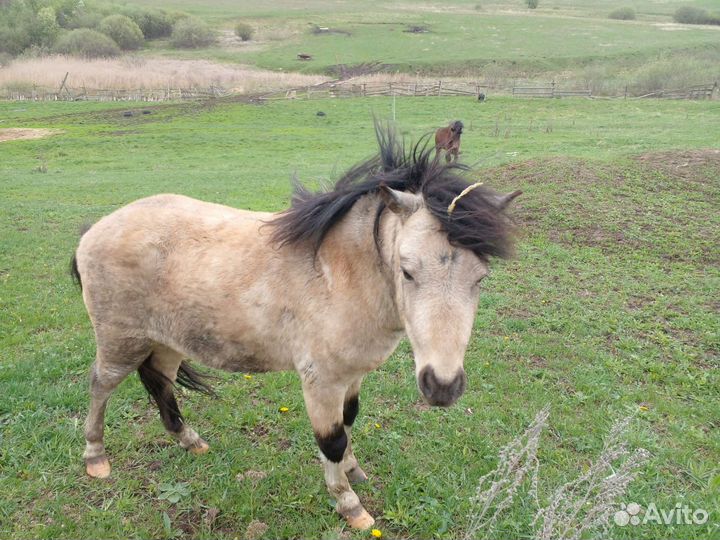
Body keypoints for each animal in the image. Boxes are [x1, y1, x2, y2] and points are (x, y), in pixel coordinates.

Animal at [71, 126, 521, 530]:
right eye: (407, 271)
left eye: (480, 277)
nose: (442, 386)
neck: (344, 274)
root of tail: (94, 230)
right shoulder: (320, 380)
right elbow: (332, 440)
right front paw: (349, 505)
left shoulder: (351, 375)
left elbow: (349, 421)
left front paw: (353, 471)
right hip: (121, 340)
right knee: (100, 384)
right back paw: (96, 457)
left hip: (167, 339)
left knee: (161, 382)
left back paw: (190, 441)